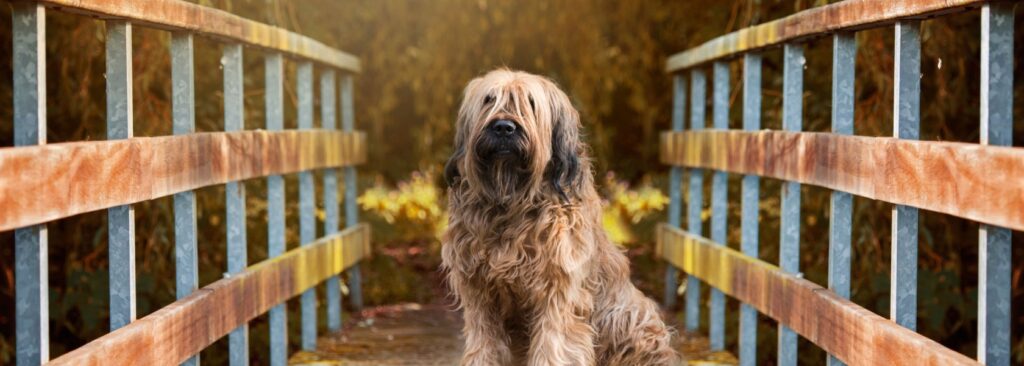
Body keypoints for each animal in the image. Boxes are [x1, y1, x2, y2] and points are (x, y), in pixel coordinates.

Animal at [442, 69, 675, 364]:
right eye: (489, 100)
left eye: (530, 103)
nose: (504, 127)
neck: (511, 199)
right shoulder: (478, 291)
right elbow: (484, 342)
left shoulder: (558, 288)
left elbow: (555, 343)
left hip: (628, 316)